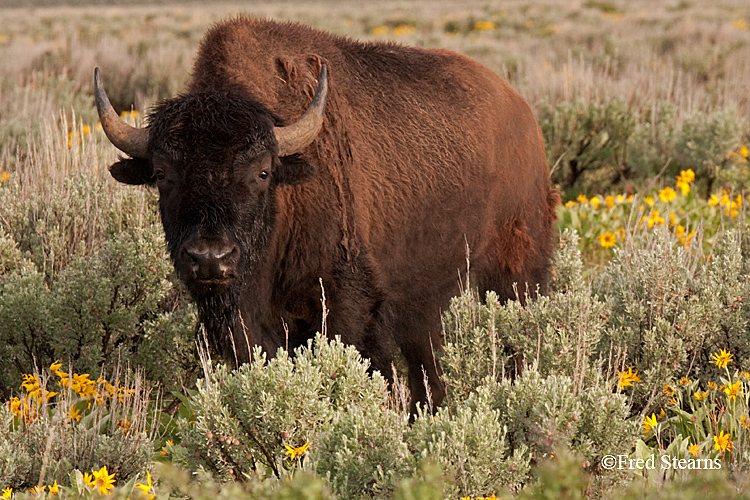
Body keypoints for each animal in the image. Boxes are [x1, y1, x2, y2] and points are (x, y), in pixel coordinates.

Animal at [95, 16, 560, 414]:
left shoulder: (347, 310)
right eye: (162, 174)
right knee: (427, 367)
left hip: (515, 276)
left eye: (263, 172)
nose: (211, 258)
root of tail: (524, 115)